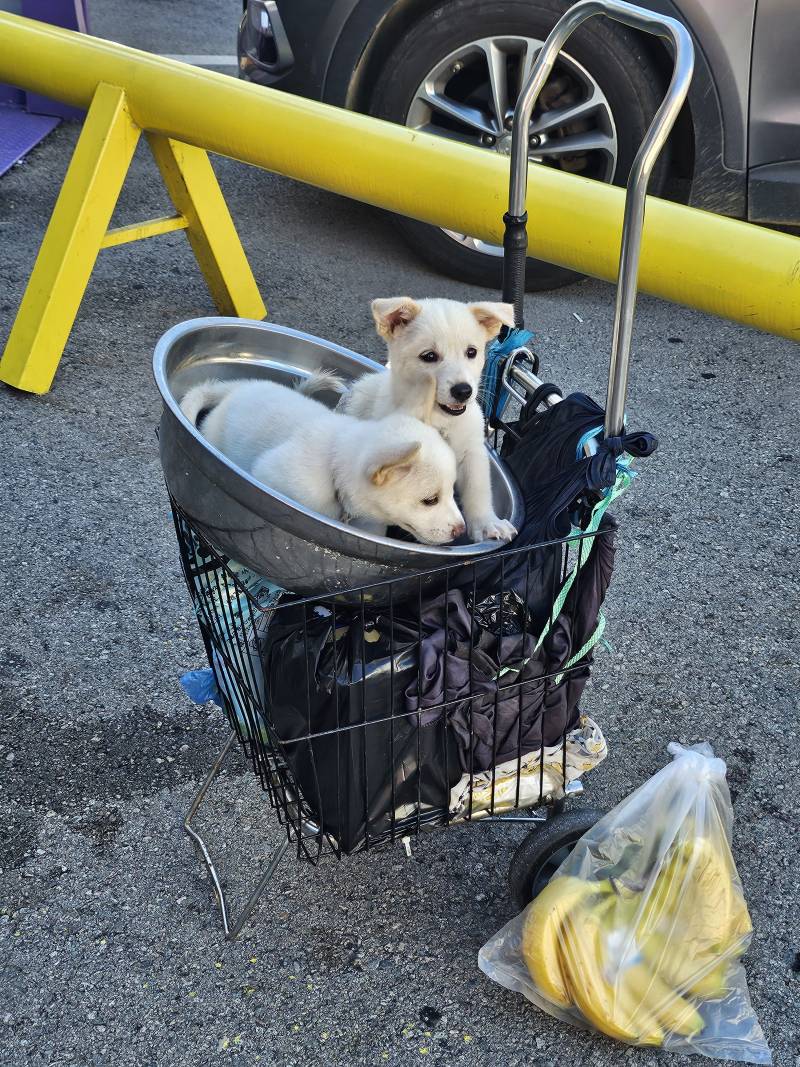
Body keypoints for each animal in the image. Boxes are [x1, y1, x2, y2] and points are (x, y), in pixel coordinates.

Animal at [180, 377, 469, 546]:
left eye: (451, 492)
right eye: (430, 500)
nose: (461, 530)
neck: (334, 471)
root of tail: (238, 388)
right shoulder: (269, 475)